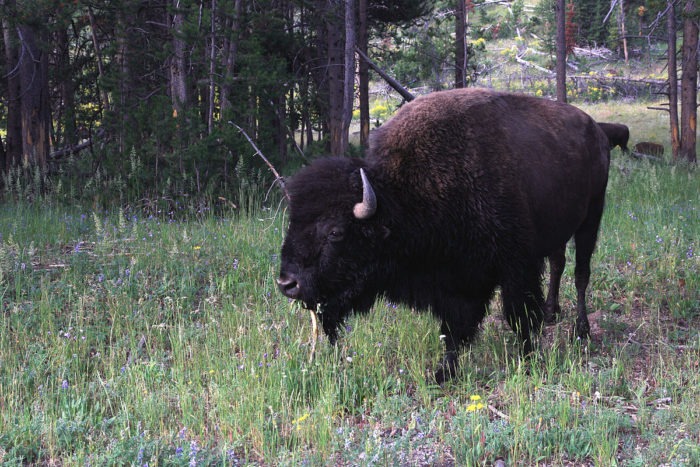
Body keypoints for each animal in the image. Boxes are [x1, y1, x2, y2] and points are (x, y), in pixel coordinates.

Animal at [276, 88, 608, 384]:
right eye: (293, 222)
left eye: (335, 232)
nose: (287, 284)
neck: (404, 197)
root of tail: (595, 129)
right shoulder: (455, 282)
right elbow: (453, 329)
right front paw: (444, 373)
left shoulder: (517, 266)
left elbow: (520, 315)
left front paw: (528, 360)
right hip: (559, 231)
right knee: (558, 265)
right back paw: (553, 313)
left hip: (591, 218)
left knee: (581, 273)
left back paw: (582, 331)